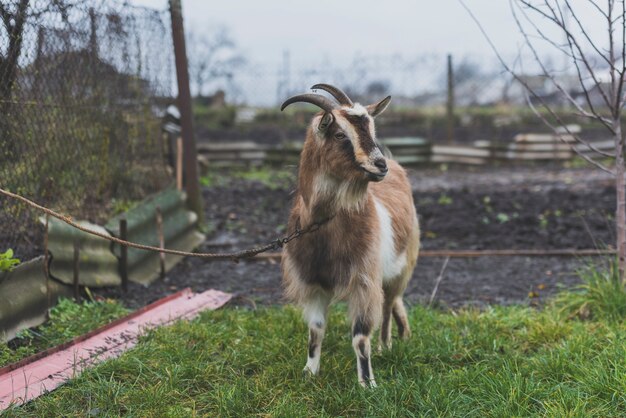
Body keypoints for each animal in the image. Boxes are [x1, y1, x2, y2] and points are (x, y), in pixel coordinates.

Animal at [280, 83, 420, 386]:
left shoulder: (363, 281)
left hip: (402, 267)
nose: (380, 165)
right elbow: (315, 330)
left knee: (387, 305)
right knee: (392, 303)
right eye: (340, 134)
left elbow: (360, 336)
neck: (323, 227)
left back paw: (385, 345)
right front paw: (309, 372)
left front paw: (367, 383)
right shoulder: (312, 281)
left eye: (372, 129)